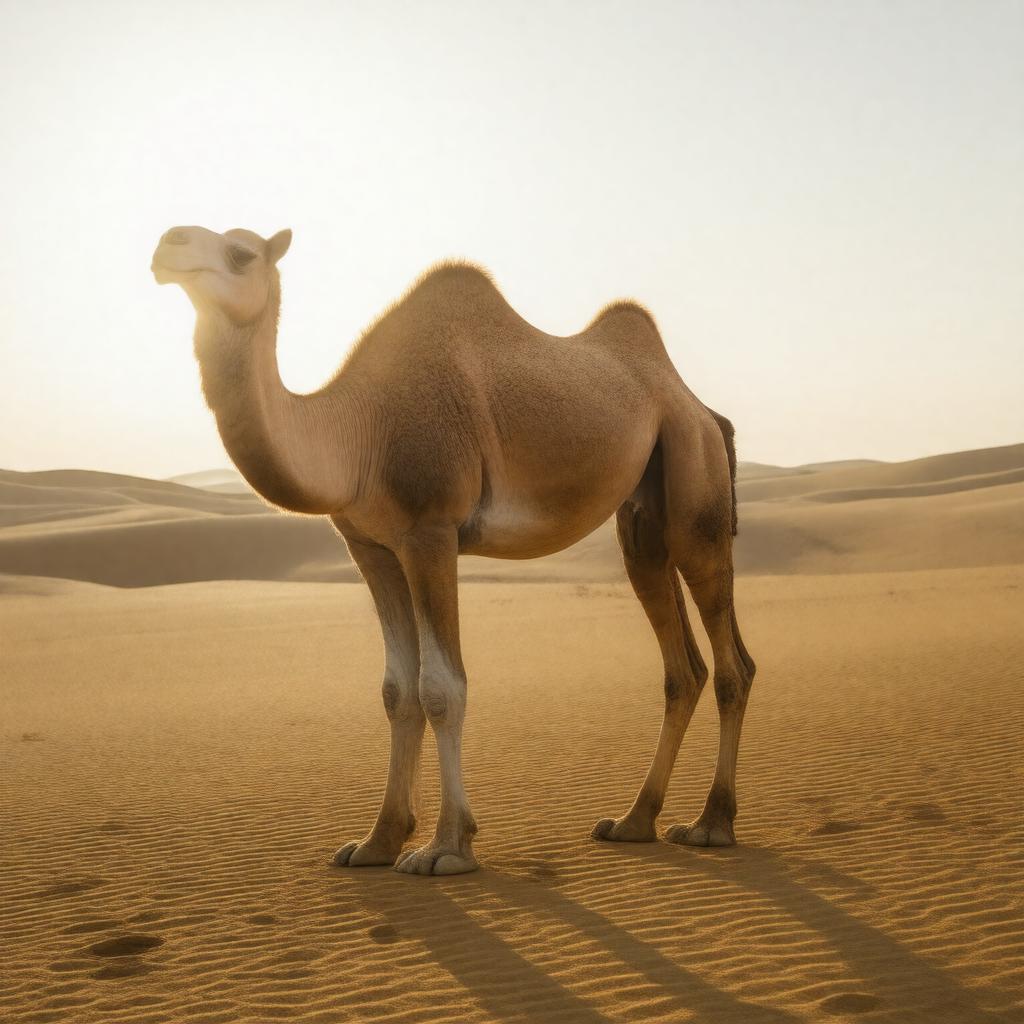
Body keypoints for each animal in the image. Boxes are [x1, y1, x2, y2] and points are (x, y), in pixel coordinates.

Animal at [152, 225, 756, 876]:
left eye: (241, 253)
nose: (166, 244)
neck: (360, 429)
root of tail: (702, 408)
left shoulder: (431, 531)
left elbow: (442, 687)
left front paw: (446, 846)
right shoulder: (370, 546)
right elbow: (397, 691)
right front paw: (377, 841)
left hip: (694, 476)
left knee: (731, 663)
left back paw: (711, 823)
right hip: (643, 519)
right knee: (682, 666)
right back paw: (633, 821)